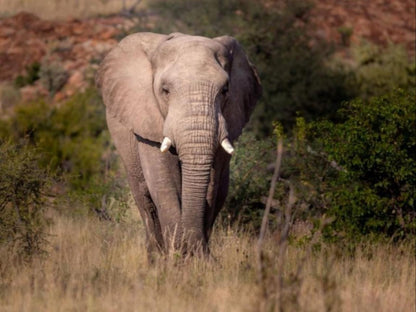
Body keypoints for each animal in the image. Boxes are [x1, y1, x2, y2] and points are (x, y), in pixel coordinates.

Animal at [96, 32, 262, 256]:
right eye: (165, 90)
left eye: (225, 90)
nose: (200, 252)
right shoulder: (148, 121)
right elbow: (163, 180)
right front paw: (177, 256)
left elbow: (212, 185)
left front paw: (193, 258)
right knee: (144, 199)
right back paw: (157, 256)